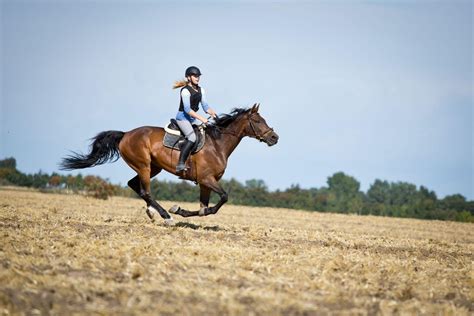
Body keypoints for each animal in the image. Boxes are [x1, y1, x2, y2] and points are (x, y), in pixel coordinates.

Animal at [61, 103, 280, 225]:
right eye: (258, 121)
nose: (274, 138)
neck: (218, 144)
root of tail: (125, 134)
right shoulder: (207, 179)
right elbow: (223, 198)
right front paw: (175, 210)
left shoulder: (206, 183)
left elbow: (205, 209)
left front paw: (181, 210)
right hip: (144, 166)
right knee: (145, 190)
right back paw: (166, 216)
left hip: (154, 167)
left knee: (134, 185)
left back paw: (152, 212)